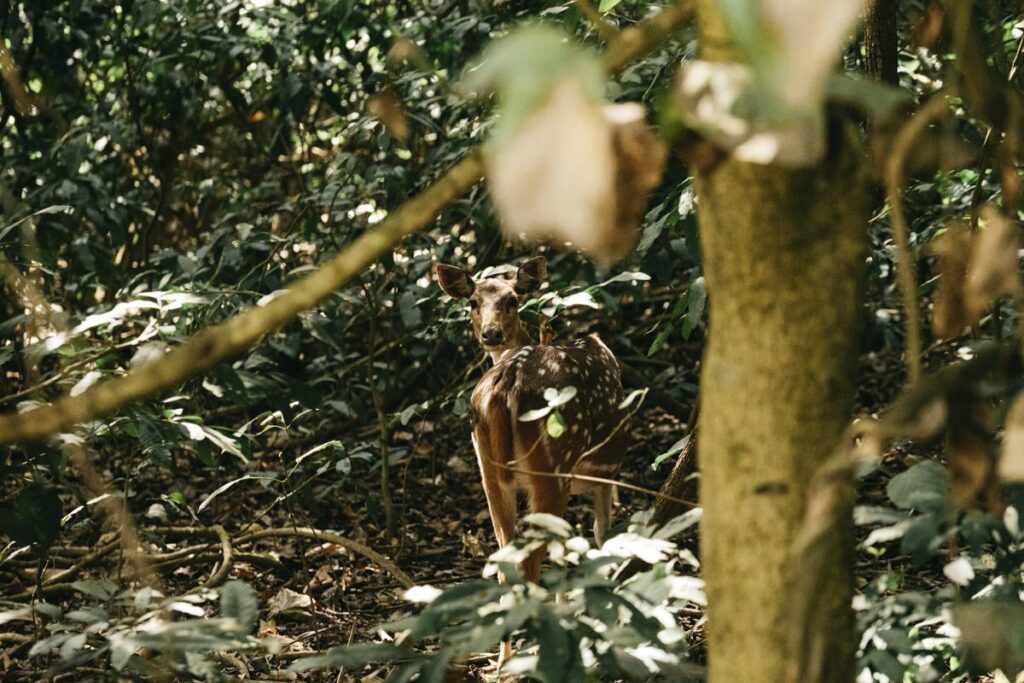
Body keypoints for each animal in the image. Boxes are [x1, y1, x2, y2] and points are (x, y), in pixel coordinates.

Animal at [430, 253, 626, 585]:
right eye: (472, 302)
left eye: (512, 300)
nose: (491, 334)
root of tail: (505, 385)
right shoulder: (607, 470)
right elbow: (603, 535)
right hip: (554, 463)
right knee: (531, 562)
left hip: (487, 467)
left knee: (505, 558)